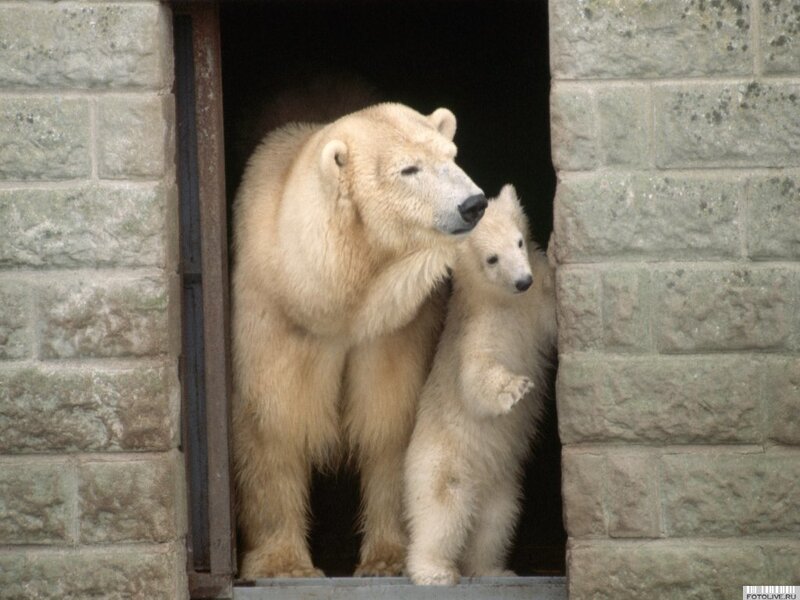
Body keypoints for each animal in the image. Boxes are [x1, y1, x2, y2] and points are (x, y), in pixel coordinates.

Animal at [231, 102, 487, 579]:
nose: (473, 204)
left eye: (452, 155)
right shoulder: (272, 312)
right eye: (409, 168)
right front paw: (283, 565)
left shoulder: (393, 327)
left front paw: (388, 560)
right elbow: (275, 422)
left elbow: (388, 421)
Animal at [404, 184, 557, 586]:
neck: (503, 302)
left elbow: (550, 315)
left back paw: (494, 569)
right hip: (444, 464)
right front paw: (515, 390)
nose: (523, 280)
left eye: (519, 242)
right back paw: (434, 571)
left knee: (495, 523)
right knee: (442, 515)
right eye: (492, 259)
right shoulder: (474, 333)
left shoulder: (532, 313)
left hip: (502, 483)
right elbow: (477, 379)